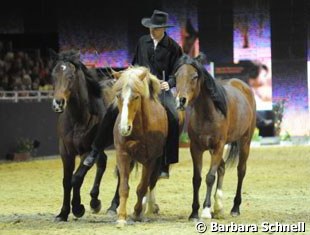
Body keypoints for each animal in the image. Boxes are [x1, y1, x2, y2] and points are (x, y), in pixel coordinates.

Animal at [50, 49, 118, 220]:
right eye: (53, 75)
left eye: (70, 76)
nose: (58, 103)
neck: (79, 118)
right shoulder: (66, 151)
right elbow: (66, 181)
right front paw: (63, 213)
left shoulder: (87, 150)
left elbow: (76, 178)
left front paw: (77, 208)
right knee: (103, 162)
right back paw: (95, 201)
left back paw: (113, 206)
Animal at [112, 66, 170, 228]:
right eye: (118, 96)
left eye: (136, 97)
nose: (124, 128)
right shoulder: (123, 155)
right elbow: (124, 187)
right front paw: (121, 217)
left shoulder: (150, 159)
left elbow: (142, 187)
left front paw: (137, 212)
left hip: (157, 161)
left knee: (151, 182)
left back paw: (149, 208)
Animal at [174, 53, 256, 220]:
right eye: (177, 76)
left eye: (194, 76)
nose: (181, 100)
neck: (208, 114)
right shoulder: (196, 148)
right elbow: (197, 178)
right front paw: (194, 212)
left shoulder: (218, 146)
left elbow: (210, 177)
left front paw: (205, 210)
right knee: (222, 168)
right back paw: (218, 207)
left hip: (245, 142)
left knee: (240, 171)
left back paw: (235, 208)